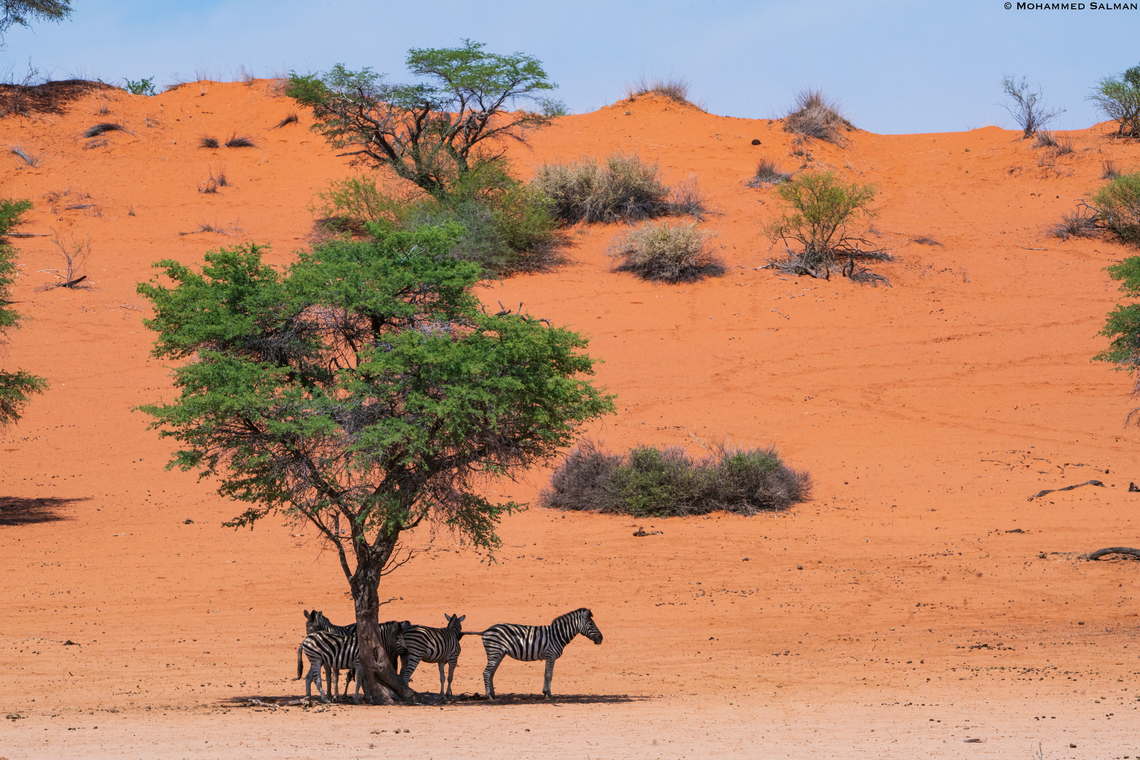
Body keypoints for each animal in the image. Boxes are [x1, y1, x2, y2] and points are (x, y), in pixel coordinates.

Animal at [469, 607, 603, 699]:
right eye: (591, 624)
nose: (601, 638)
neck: (557, 635)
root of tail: (486, 630)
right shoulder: (550, 655)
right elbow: (549, 674)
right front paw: (548, 694)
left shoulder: (549, 656)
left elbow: (546, 674)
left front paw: (545, 692)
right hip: (494, 652)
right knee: (487, 672)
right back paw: (489, 696)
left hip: (499, 654)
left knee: (491, 673)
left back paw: (493, 694)